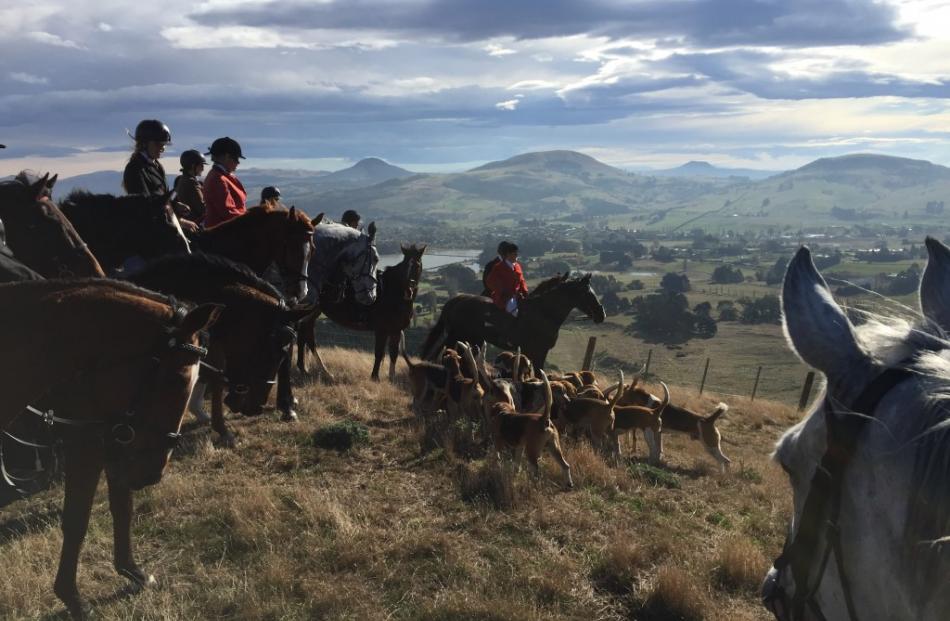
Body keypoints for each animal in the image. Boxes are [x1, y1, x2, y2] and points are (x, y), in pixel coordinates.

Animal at [0, 278, 219, 616]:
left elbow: (122, 507)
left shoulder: (114, 442)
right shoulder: (88, 444)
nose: (152, 474)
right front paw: (73, 598)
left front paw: (132, 571)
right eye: (178, 380)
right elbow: (77, 520)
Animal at [300, 243, 426, 380]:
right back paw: (316, 370)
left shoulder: (396, 330)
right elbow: (379, 353)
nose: (409, 290)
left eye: (417, 265)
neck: (392, 292)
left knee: (306, 334)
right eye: (405, 266)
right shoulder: (381, 330)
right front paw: (375, 377)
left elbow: (393, 354)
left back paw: (312, 370)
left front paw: (391, 378)